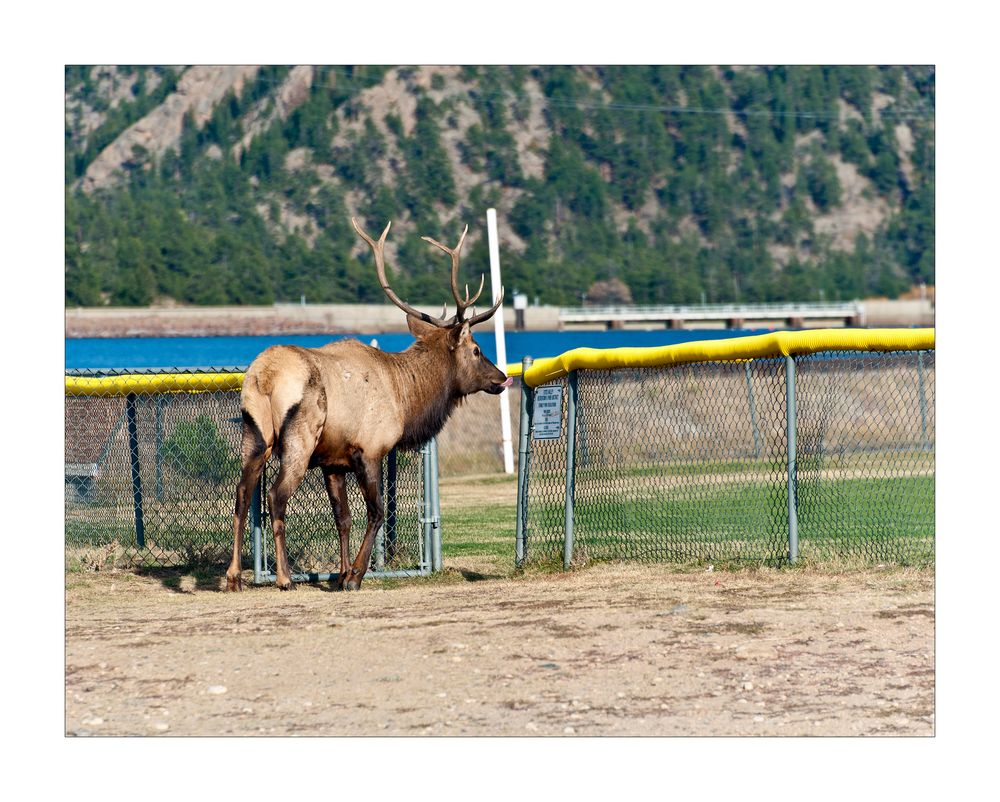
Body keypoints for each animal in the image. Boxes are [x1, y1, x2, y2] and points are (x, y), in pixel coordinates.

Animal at [229, 217, 512, 588]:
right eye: (477, 350)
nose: (501, 377)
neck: (406, 399)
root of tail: (265, 376)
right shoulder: (371, 448)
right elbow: (376, 512)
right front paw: (355, 576)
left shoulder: (333, 461)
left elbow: (343, 518)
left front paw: (341, 574)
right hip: (298, 438)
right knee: (276, 496)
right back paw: (284, 577)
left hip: (254, 431)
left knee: (241, 492)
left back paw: (233, 576)